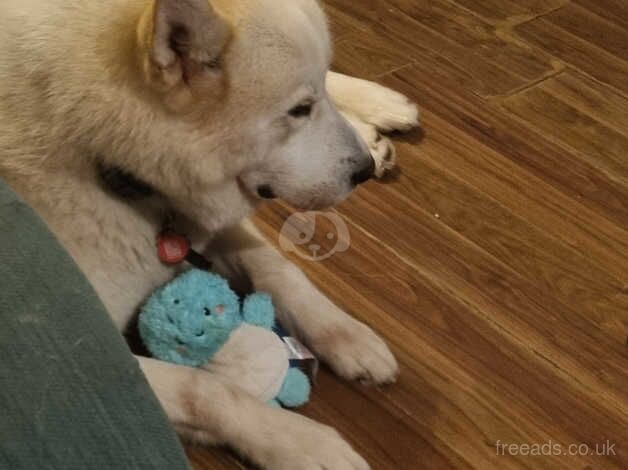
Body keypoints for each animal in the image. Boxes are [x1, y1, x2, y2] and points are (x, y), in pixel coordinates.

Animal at [1, 1, 422, 468]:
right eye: (298, 111)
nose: (362, 172)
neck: (105, 159)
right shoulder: (99, 359)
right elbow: (204, 392)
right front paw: (304, 443)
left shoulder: (208, 218)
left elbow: (278, 268)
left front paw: (344, 332)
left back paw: (379, 110)